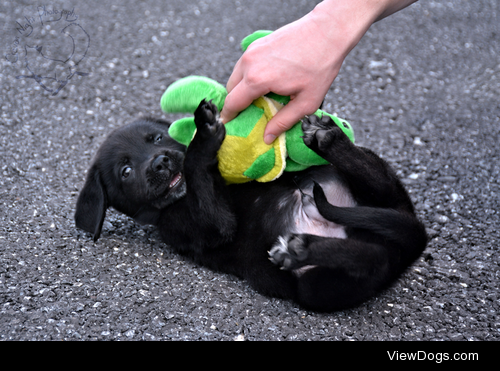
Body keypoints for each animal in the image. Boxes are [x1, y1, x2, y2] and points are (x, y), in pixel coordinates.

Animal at [74, 100, 426, 312]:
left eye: (157, 139)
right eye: (126, 171)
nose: (160, 163)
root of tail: (405, 250)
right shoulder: (207, 226)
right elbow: (196, 169)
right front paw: (204, 136)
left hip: (374, 187)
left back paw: (328, 139)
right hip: (318, 289)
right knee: (373, 260)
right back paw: (300, 248)